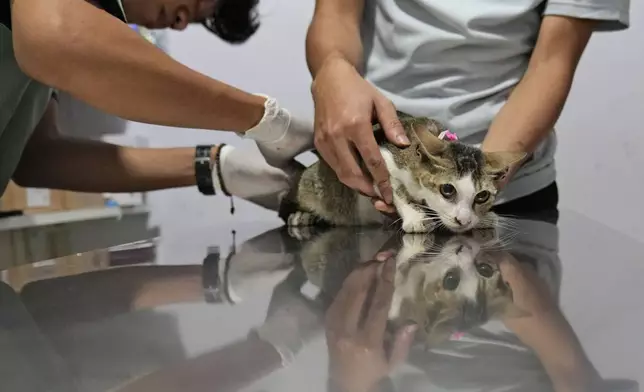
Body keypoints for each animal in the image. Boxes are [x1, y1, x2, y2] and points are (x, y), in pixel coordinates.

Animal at [280, 110, 524, 233]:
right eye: (447, 189)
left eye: (482, 196)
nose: (463, 220)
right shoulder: (380, 158)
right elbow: (396, 190)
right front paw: (416, 217)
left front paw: (482, 218)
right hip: (311, 183)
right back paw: (301, 215)